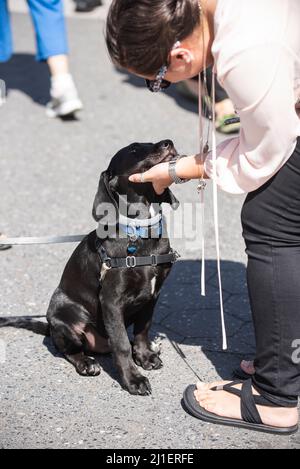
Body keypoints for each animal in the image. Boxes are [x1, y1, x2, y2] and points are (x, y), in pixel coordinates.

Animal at [0, 140, 178, 394]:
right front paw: (133, 379)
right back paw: (86, 363)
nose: (168, 143)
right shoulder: (111, 300)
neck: (141, 232)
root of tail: (50, 327)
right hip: (66, 318)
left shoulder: (153, 296)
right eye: (134, 149)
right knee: (70, 350)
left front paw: (144, 356)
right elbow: (121, 345)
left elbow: (143, 330)